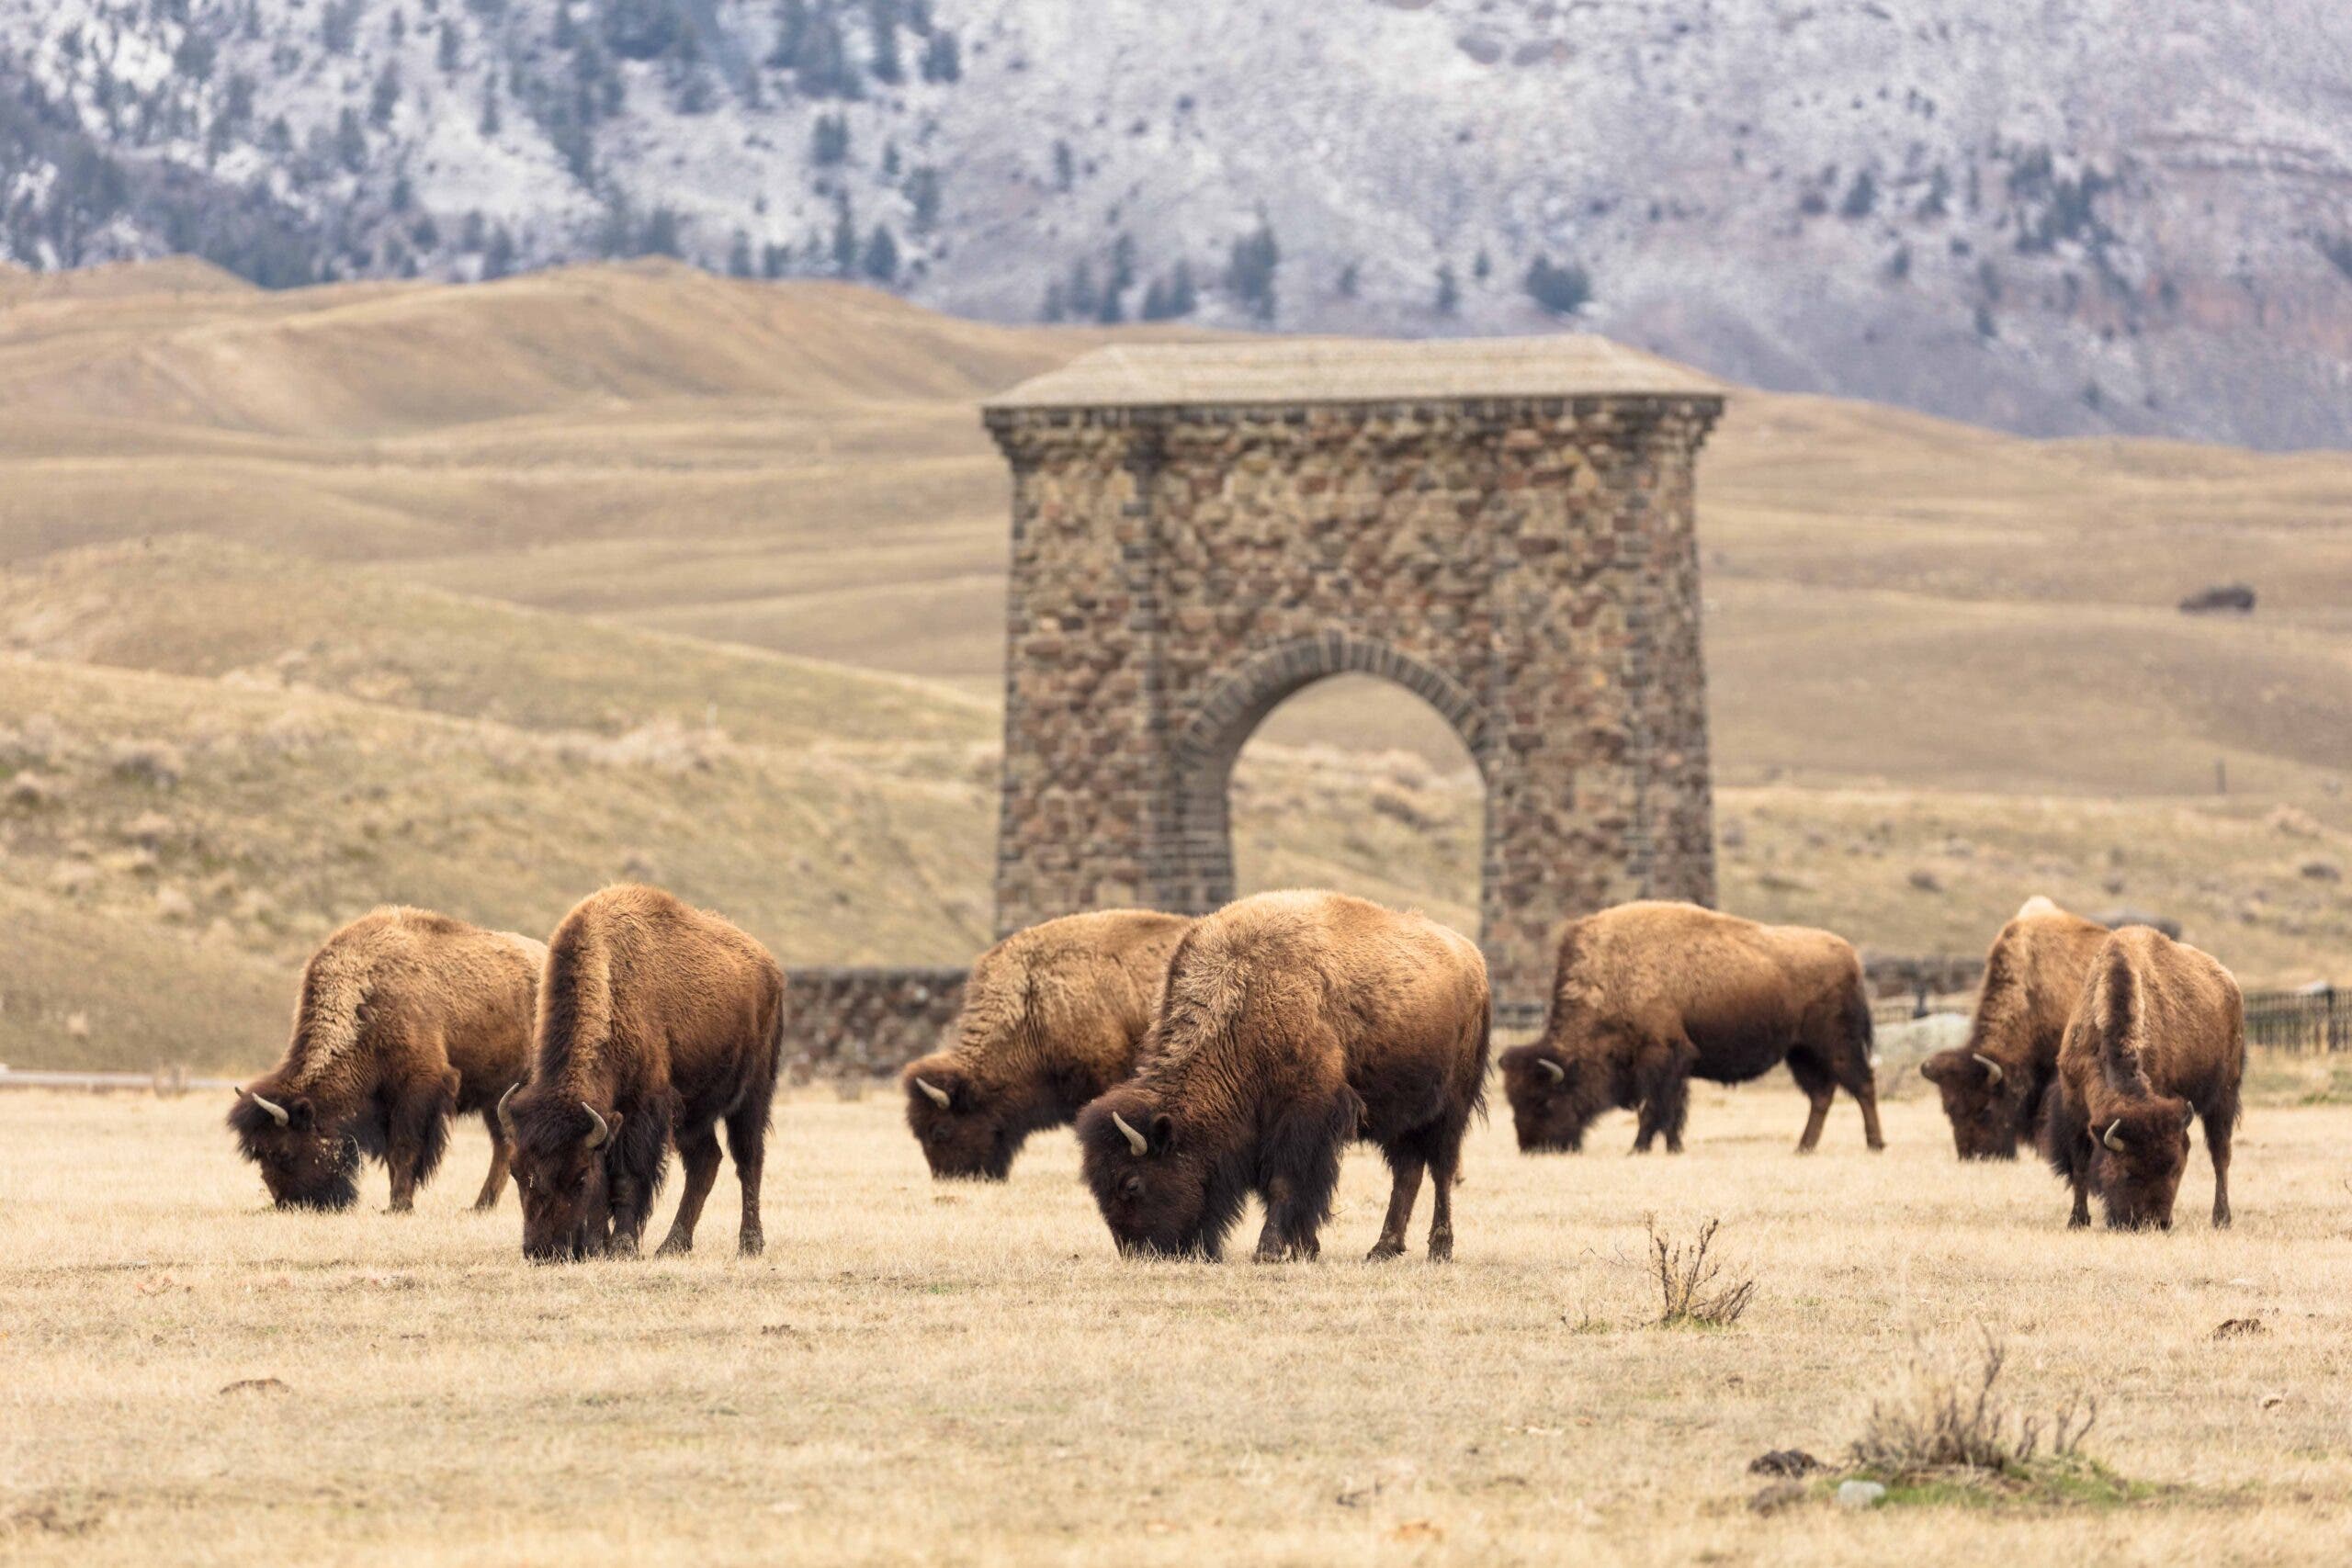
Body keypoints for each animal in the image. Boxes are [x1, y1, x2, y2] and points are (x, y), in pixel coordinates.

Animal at [229, 908, 540, 1212]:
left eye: (283, 1151)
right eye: (259, 1155)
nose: (288, 1203)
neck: (366, 999)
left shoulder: (417, 1089)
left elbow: (405, 1148)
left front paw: (399, 1205)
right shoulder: (385, 1105)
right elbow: (392, 1155)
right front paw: (395, 1201)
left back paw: (482, 1204)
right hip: (495, 1098)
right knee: (503, 1145)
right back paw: (481, 1205)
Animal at [501, 885, 784, 1262]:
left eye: (578, 1177)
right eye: (516, 1172)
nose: (542, 1250)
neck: (610, 983)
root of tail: (770, 967)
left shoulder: (642, 1110)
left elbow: (626, 1177)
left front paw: (622, 1246)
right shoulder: (613, 1121)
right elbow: (606, 1184)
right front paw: (600, 1247)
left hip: (752, 1095)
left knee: (748, 1158)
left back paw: (750, 1244)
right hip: (692, 1114)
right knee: (706, 1161)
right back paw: (673, 1245)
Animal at [1075, 889, 1489, 1263]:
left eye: (1132, 1183)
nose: (1139, 1253)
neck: (1244, 994)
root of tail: (1473, 959)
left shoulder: (1301, 1116)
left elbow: (1284, 1183)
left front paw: (1269, 1250)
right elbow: (1288, 1188)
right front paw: (1304, 1249)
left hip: (1450, 1110)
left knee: (1441, 1171)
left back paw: (1439, 1249)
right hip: (1401, 1117)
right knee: (1407, 1173)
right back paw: (1382, 1249)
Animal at [1498, 901, 1882, 1156]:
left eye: (1545, 1100)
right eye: (1513, 1101)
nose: (1533, 1147)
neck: (1612, 979)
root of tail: (1850, 957)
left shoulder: (1664, 1054)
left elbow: (1655, 1107)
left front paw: (1637, 1149)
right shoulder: (1678, 1063)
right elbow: (1673, 1110)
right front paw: (1673, 1148)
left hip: (1836, 1046)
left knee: (1862, 1085)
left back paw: (1874, 1144)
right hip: (1800, 1053)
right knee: (1822, 1095)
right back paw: (1804, 1147)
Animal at [2042, 926, 2243, 1230]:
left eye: (2175, 1168)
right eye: (2128, 1172)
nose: (2155, 1223)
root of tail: (2230, 983)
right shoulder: (2074, 1104)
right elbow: (2080, 1163)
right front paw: (2077, 1220)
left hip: (2224, 1096)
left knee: (2221, 1155)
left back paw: (2221, 1218)